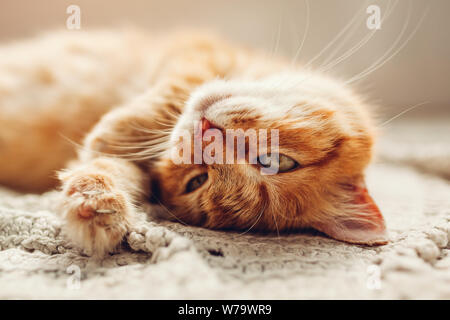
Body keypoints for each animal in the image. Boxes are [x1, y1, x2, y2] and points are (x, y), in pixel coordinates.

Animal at [0, 29, 386, 255]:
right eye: (277, 161)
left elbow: (107, 172)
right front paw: (115, 132)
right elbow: (176, 91)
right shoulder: (198, 54)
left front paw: (97, 209)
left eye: (196, 181)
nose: (206, 135)